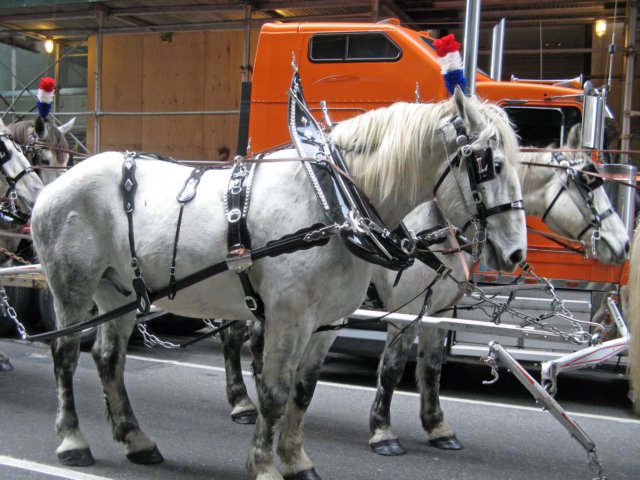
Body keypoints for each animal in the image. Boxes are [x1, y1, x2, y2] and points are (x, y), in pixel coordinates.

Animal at [30, 88, 528, 478]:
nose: (516, 255)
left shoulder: (327, 324)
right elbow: (274, 393)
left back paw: (137, 440)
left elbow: (303, 392)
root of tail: (55, 183)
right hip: (73, 285)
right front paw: (265, 465)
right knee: (65, 353)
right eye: (490, 163)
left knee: (108, 359)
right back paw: (73, 439)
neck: (332, 201)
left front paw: (297, 461)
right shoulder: (290, 319)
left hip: (118, 290)